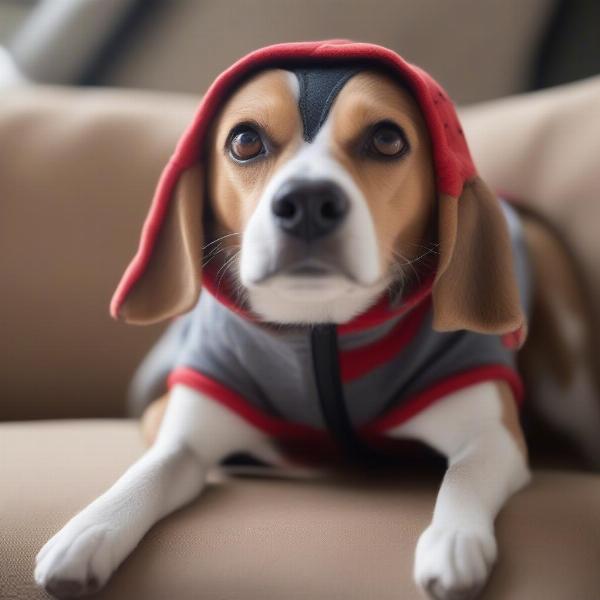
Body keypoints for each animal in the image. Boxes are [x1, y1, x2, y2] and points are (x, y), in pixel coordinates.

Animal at [34, 41, 600, 600]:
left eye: (387, 139)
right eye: (245, 141)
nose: (307, 201)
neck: (319, 326)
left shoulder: (489, 434)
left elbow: (463, 477)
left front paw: (454, 540)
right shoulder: (183, 432)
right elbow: (146, 473)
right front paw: (87, 530)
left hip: (571, 380)